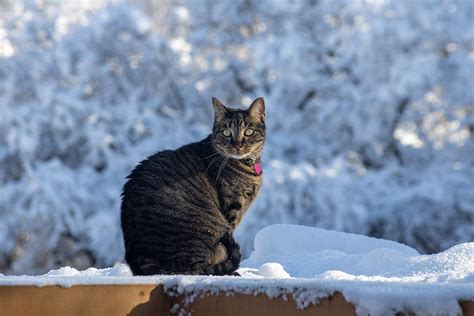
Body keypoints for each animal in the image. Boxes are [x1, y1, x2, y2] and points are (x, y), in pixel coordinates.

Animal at [120, 97, 264, 276]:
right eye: (226, 132)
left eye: (249, 132)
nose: (237, 145)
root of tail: (143, 256)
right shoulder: (232, 207)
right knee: (200, 268)